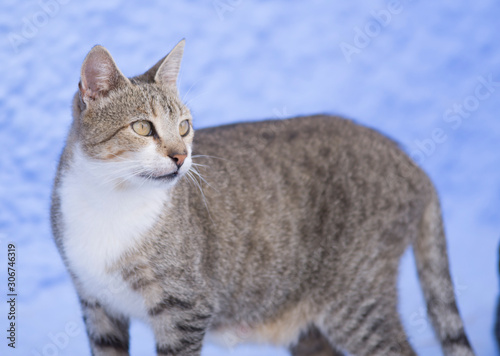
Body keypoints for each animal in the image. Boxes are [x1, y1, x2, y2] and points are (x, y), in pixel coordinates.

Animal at [51, 39, 476, 356]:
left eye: (184, 127)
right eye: (142, 127)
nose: (181, 155)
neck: (111, 200)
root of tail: (410, 162)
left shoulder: (185, 309)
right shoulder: (96, 306)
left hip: (356, 298)